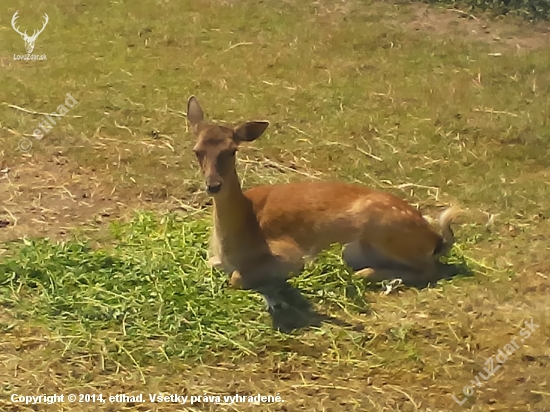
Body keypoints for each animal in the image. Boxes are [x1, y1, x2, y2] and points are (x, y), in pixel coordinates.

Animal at [188, 95, 464, 326]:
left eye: (232, 150)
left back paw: (369, 274)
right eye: (197, 151)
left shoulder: (291, 254)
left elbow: (237, 277)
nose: (213, 185)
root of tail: (435, 239)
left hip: (379, 231)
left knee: (429, 269)